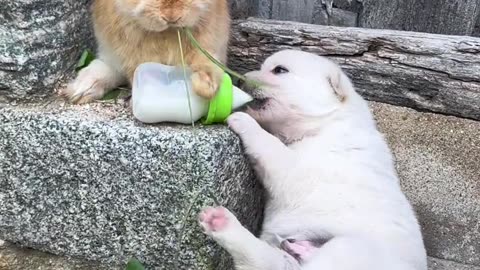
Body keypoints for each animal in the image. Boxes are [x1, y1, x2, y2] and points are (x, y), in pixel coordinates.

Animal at [199, 49, 428, 268]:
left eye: (279, 70)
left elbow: (275, 152)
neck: (325, 123)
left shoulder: (312, 166)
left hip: (350, 250)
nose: (239, 80)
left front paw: (245, 121)